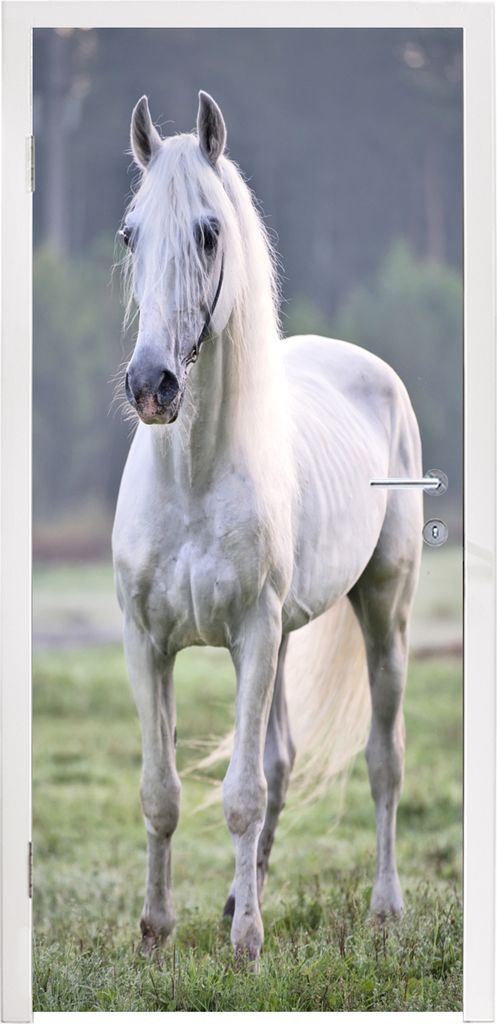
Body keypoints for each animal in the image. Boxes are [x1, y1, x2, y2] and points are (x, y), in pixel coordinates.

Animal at [112, 90, 423, 961]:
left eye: (209, 232)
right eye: (129, 233)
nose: (151, 385)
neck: (191, 481)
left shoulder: (250, 635)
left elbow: (241, 795)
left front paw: (247, 945)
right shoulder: (147, 642)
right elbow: (161, 791)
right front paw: (156, 932)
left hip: (381, 611)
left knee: (381, 761)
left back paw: (383, 907)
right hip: (284, 637)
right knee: (281, 760)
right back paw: (231, 899)